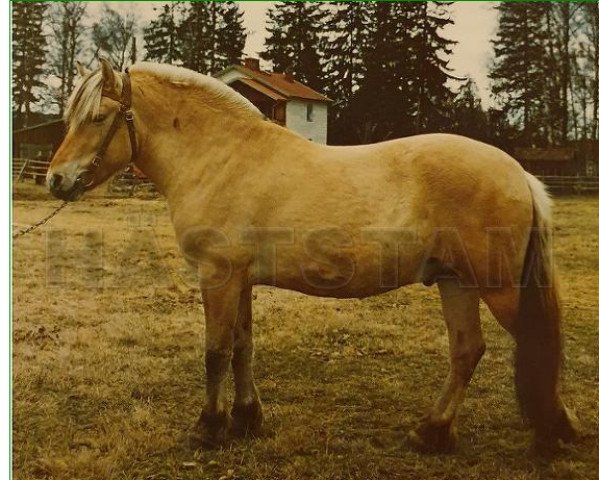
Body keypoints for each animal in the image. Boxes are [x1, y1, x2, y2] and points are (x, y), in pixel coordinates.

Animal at [48, 59, 580, 454]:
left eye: (97, 118)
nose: (56, 179)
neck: (222, 156)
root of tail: (518, 172)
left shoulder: (218, 276)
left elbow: (216, 352)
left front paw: (208, 428)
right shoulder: (241, 279)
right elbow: (242, 347)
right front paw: (247, 420)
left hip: (497, 288)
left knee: (534, 343)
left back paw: (553, 432)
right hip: (456, 282)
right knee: (467, 351)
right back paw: (431, 433)